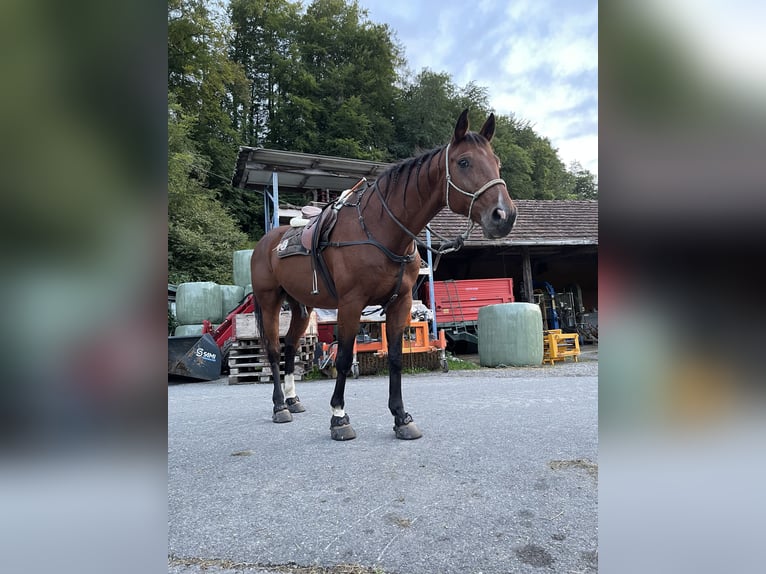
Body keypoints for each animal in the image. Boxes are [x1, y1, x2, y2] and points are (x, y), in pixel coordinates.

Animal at [255, 110, 520, 444]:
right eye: (463, 162)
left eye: (497, 162)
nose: (505, 216)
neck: (381, 230)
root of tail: (265, 243)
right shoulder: (352, 304)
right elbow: (344, 357)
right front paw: (339, 417)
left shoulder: (400, 302)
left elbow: (395, 357)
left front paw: (401, 417)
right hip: (270, 301)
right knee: (274, 349)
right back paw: (280, 406)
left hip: (302, 307)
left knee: (290, 346)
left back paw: (292, 400)